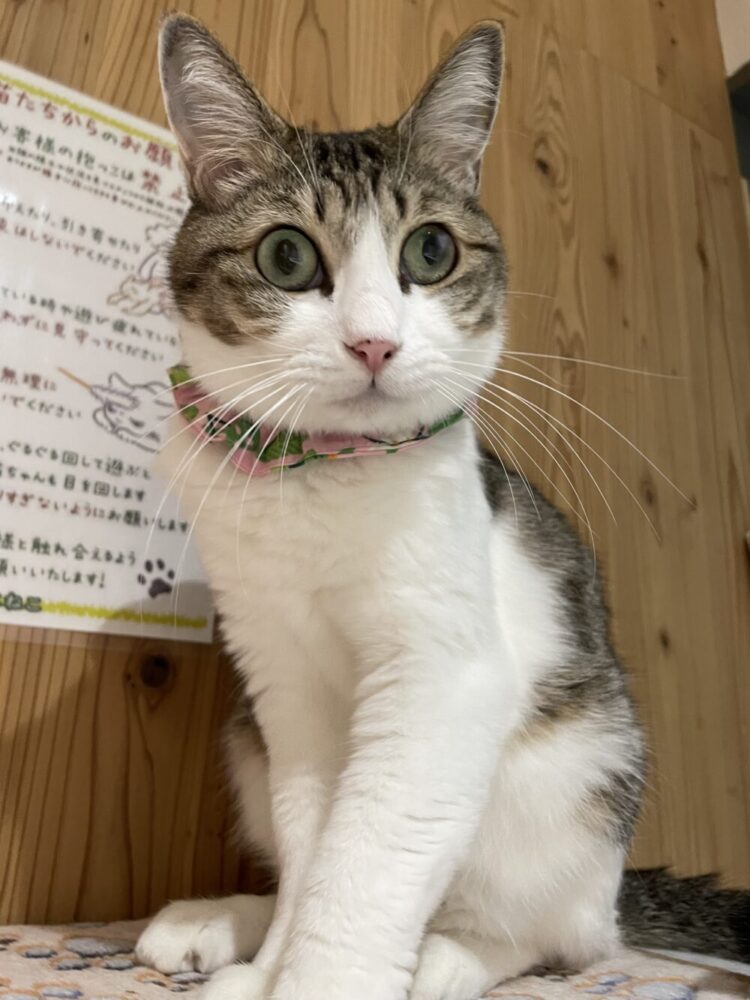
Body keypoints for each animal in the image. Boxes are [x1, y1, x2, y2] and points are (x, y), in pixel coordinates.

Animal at [135, 14, 750, 1000]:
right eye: (285, 256)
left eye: (431, 251)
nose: (374, 342)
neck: (322, 477)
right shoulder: (284, 685)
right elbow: (317, 848)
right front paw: (272, 968)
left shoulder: (443, 682)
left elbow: (371, 858)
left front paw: (321, 981)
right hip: (247, 737)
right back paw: (218, 924)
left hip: (576, 781)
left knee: (556, 935)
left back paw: (446, 958)